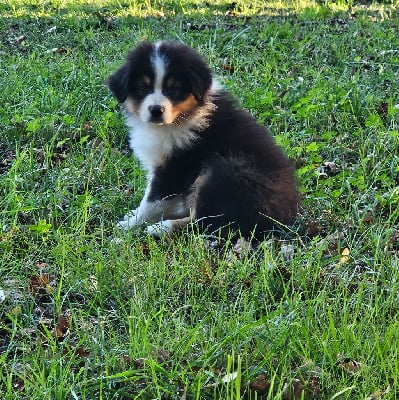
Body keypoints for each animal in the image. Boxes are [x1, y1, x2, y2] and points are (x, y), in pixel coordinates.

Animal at [108, 41, 298, 241]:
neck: (180, 118)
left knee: (208, 222)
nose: (156, 110)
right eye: (143, 88)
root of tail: (284, 219)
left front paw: (129, 225)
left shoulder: (174, 167)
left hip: (224, 171)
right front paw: (133, 217)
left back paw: (162, 228)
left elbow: (152, 201)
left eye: (174, 89)